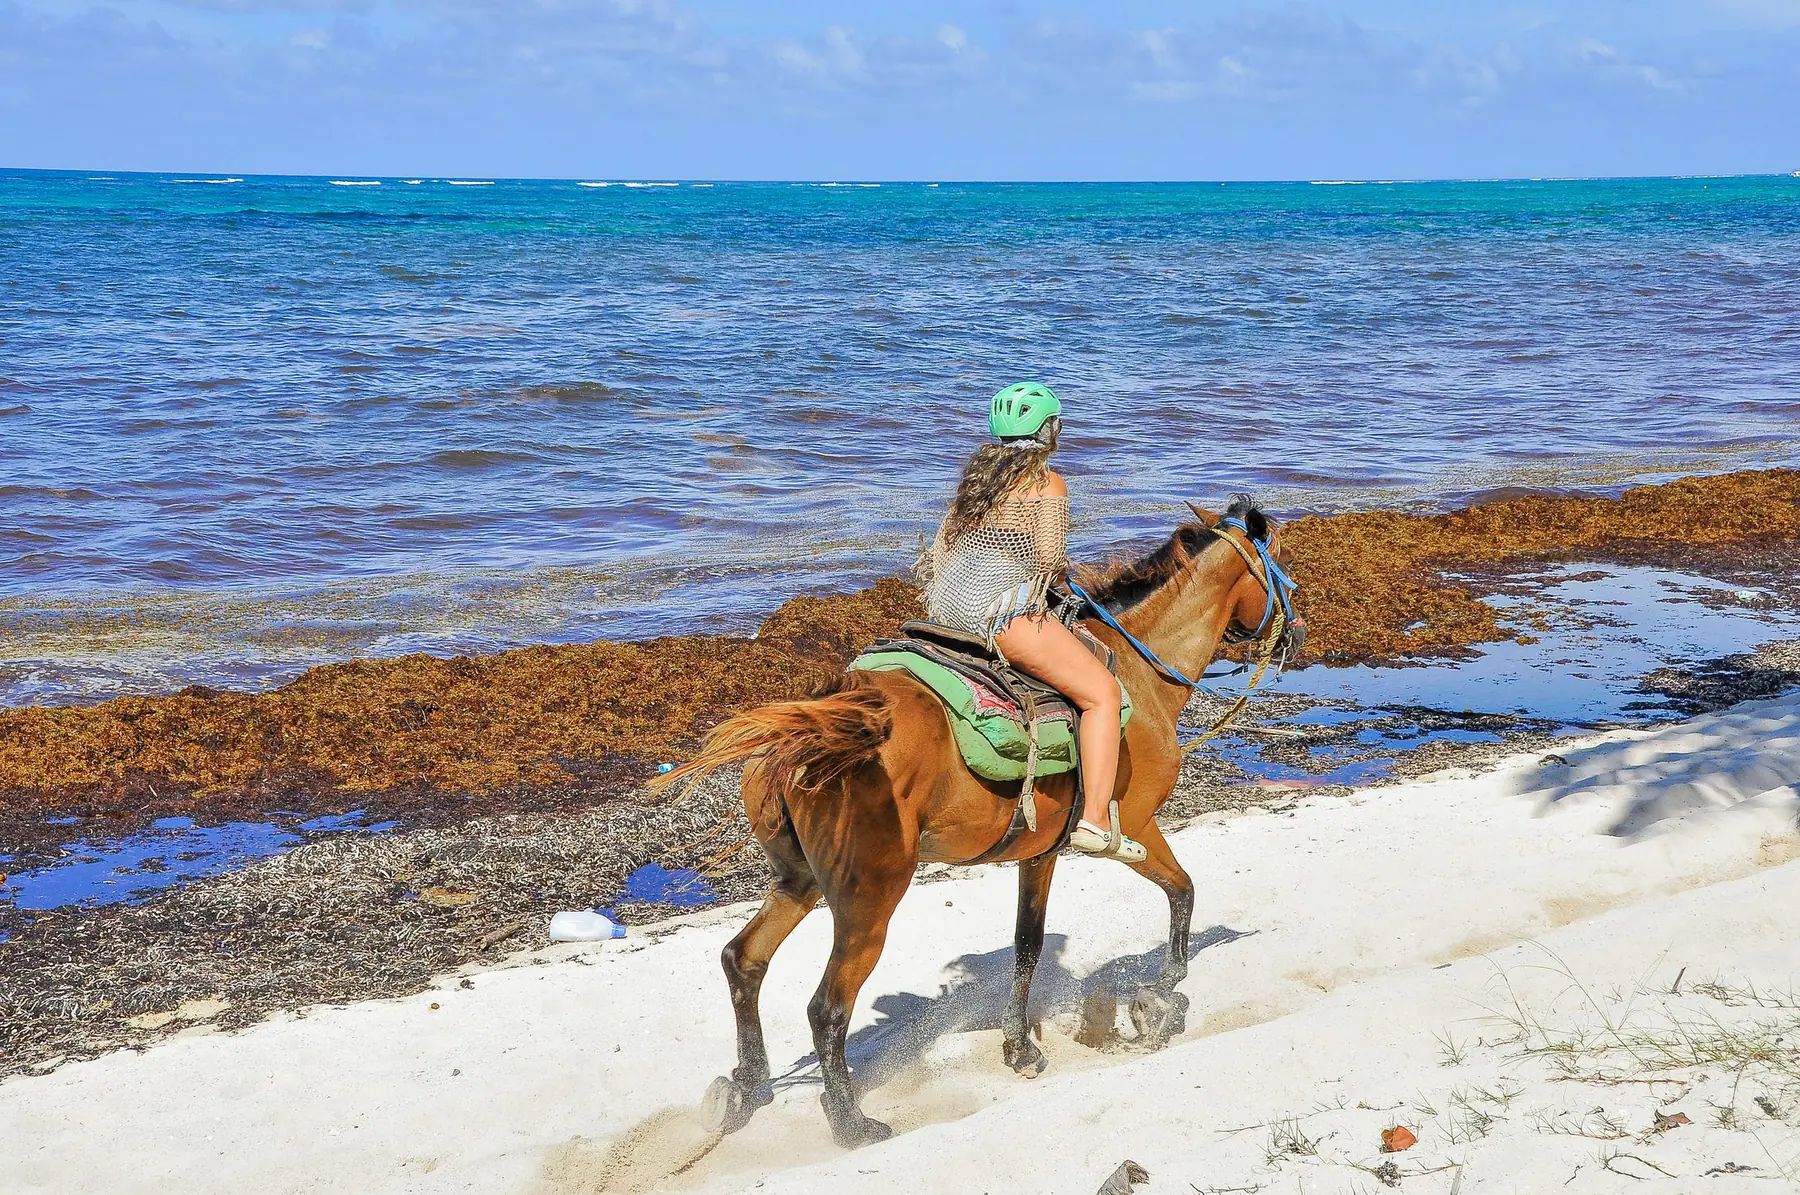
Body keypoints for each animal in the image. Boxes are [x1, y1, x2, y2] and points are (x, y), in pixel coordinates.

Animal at [653, 496, 1305, 1149]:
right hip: (868, 901)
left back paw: (747, 1088)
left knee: (744, 961)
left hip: (799, 881)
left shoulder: (1039, 853)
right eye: (1284, 570)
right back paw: (851, 1122)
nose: (1296, 633)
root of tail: (813, 731)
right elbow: (1182, 893)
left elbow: (1027, 947)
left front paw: (1021, 1049)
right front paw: (1163, 993)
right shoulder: (1135, 828)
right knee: (826, 1007)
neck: (1139, 677)